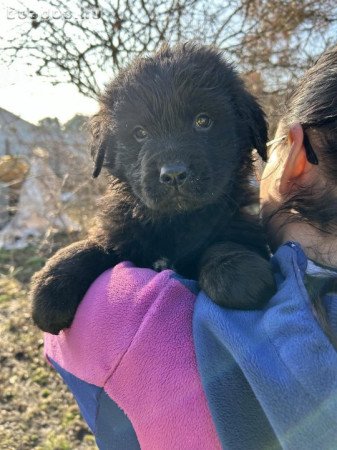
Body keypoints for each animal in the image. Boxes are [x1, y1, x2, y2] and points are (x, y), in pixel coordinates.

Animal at [30, 44, 272, 336]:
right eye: (140, 133)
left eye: (203, 121)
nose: (174, 174)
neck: (175, 221)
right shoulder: (119, 235)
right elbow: (89, 246)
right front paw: (50, 285)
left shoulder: (241, 223)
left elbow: (225, 242)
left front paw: (236, 272)